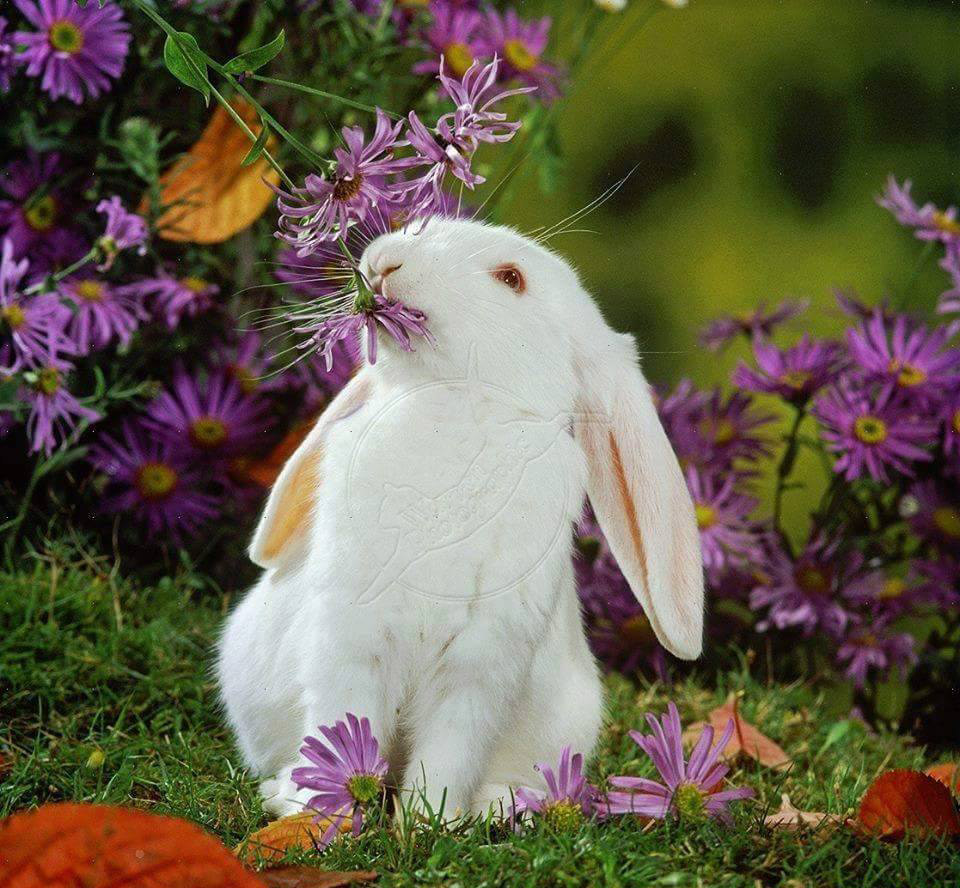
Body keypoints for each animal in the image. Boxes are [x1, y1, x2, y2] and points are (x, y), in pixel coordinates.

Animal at [216, 217, 704, 820]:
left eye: (511, 278)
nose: (382, 261)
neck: (456, 408)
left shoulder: (478, 667)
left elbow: (447, 753)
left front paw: (426, 823)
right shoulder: (350, 634)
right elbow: (341, 726)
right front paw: (322, 812)